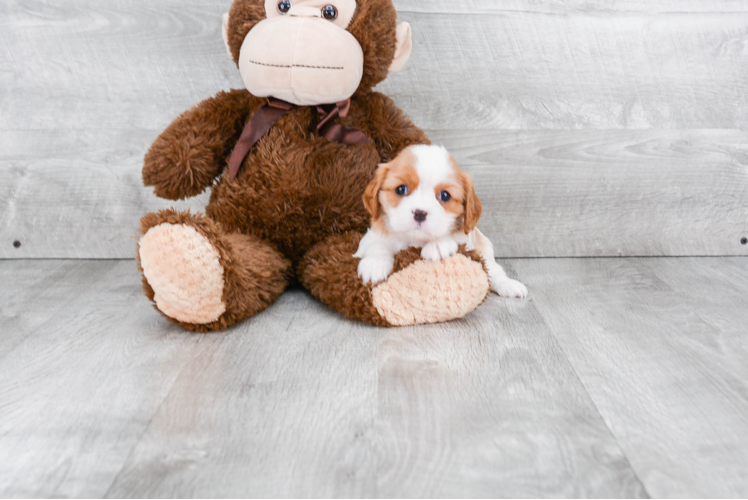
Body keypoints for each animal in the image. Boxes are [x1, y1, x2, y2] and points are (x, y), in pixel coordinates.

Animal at [356, 146, 524, 300]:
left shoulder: (468, 236)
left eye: (445, 195)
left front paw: (437, 245)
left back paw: (508, 284)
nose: (420, 213)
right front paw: (375, 264)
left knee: (493, 271)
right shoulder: (369, 237)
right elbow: (377, 244)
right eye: (401, 189)